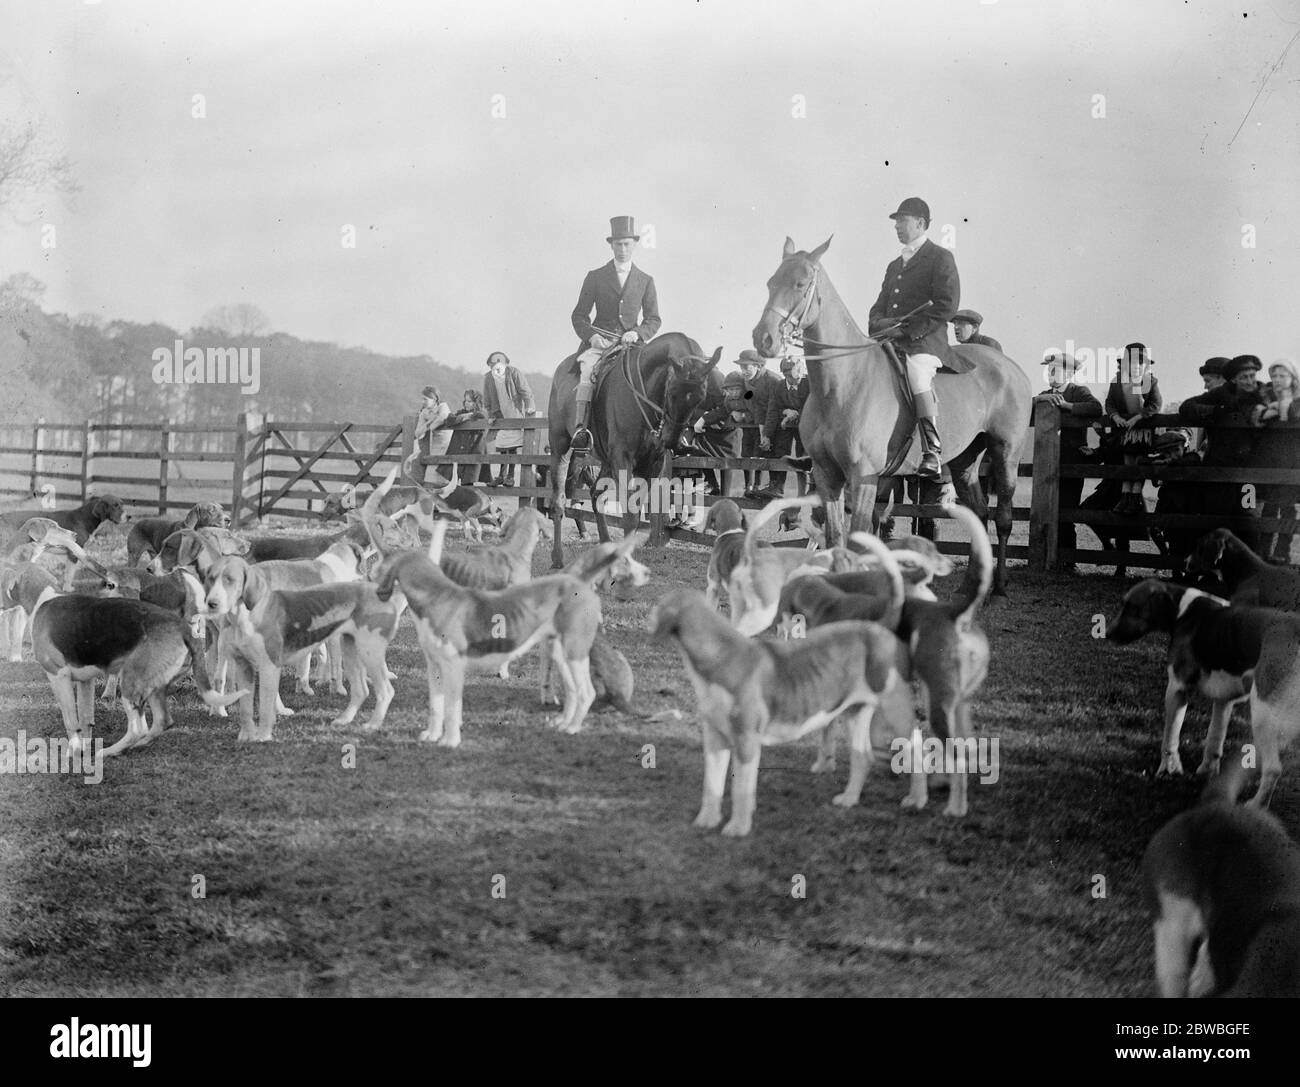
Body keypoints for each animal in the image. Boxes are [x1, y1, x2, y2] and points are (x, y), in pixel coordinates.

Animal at [540, 332, 717, 569]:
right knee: (559, 501)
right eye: (672, 392)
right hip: (560, 447)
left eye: (701, 397)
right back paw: (558, 558)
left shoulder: (652, 465)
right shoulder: (622, 459)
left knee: (596, 495)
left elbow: (635, 511)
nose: (671, 440)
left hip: (606, 461)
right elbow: (630, 515)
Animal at [748, 234, 1029, 598]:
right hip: (965, 461)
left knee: (1003, 518)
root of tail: (1009, 365)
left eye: (801, 283)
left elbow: (857, 541)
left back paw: (999, 586)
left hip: (1006, 452)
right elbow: (836, 539)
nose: (763, 339)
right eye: (770, 283)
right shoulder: (826, 475)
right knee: (979, 515)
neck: (839, 384)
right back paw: (970, 587)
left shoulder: (864, 476)